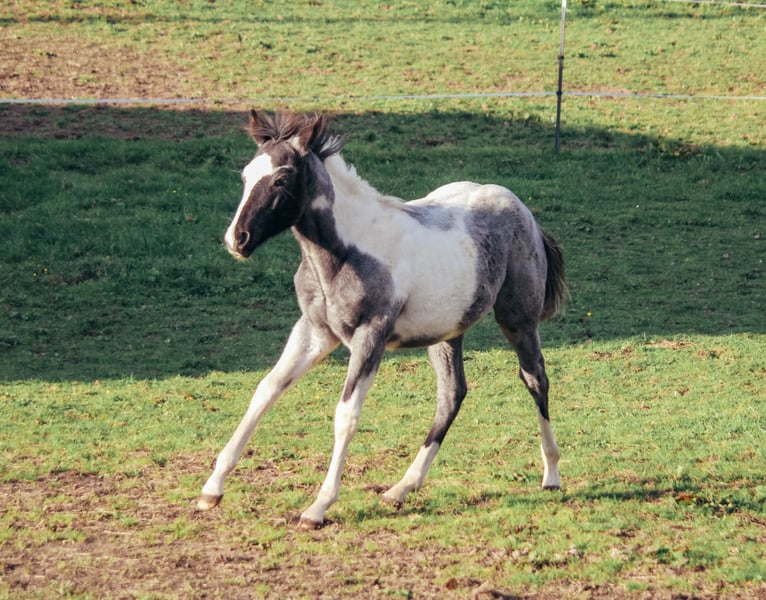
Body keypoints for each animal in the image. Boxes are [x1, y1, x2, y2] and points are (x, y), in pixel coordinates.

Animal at [197, 110, 566, 528]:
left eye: (281, 178)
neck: (345, 253)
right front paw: (212, 489)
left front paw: (318, 507)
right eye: (246, 175)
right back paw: (401, 488)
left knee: (535, 378)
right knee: (451, 395)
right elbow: (266, 389)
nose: (236, 240)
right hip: (445, 332)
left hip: (518, 318)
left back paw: (552, 474)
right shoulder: (314, 331)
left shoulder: (369, 335)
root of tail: (520, 207)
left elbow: (346, 415)